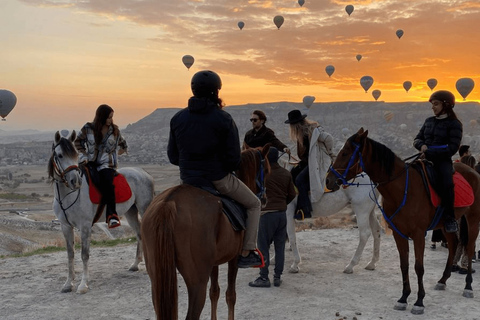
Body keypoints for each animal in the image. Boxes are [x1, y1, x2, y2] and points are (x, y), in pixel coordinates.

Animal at [48, 130, 155, 292]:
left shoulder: (85, 226)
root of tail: (143, 172)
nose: (75, 181)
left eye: (75, 155)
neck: (68, 195)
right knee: (139, 234)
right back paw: (135, 264)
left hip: (144, 208)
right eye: (60, 155)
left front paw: (83, 284)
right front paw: (68, 283)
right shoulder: (65, 226)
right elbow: (70, 254)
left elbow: (84, 254)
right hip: (130, 212)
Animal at [142, 146, 270, 320]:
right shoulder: (234, 259)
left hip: (157, 278)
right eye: (268, 170)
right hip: (197, 282)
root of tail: (169, 203)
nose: (264, 199)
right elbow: (231, 295)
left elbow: (214, 292)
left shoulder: (213, 263)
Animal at [324, 128, 480, 316]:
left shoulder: (419, 235)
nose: (328, 180)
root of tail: (472, 171)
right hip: (446, 223)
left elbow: (419, 267)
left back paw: (468, 286)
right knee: (454, 244)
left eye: (346, 153)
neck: (403, 188)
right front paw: (404, 298)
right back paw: (443, 280)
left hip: (473, 218)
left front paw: (419, 302)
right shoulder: (399, 234)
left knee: (469, 248)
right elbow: (404, 265)